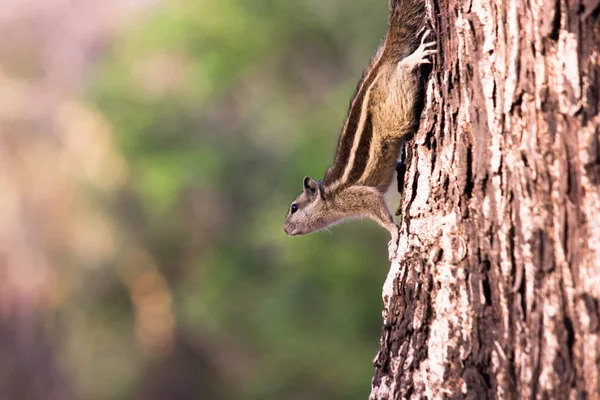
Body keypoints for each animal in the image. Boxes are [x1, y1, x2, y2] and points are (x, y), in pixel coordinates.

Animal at [282, 0, 436, 260]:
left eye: (294, 207)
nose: (284, 229)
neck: (330, 196)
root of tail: (382, 62)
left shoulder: (359, 197)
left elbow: (381, 213)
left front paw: (393, 236)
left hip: (395, 109)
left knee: (403, 73)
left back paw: (413, 59)